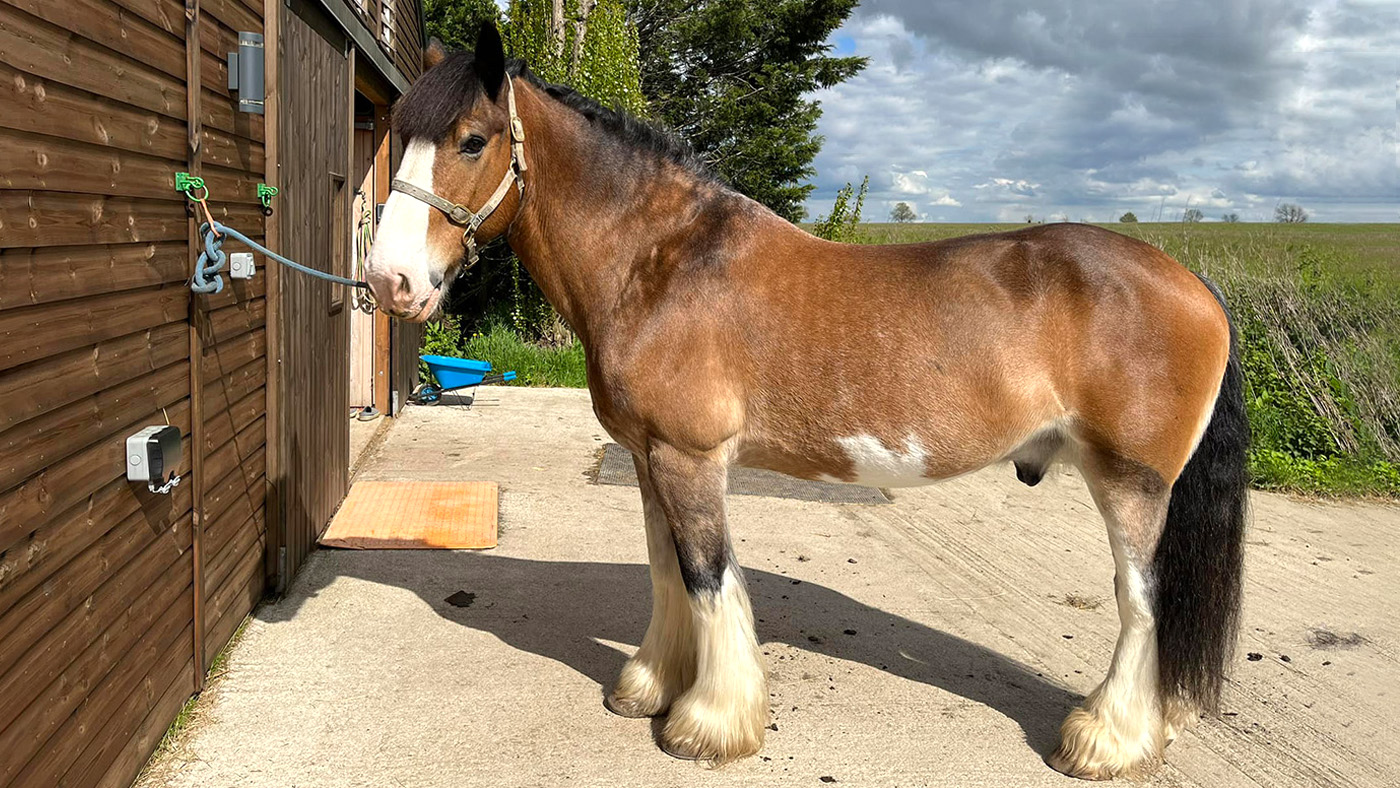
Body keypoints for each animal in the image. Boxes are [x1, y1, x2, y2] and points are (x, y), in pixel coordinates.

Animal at [365, 23, 1249, 781]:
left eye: (473, 140)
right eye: (400, 136)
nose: (388, 281)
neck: (659, 262)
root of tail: (1196, 285)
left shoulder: (689, 459)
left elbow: (709, 577)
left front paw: (708, 726)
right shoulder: (649, 459)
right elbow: (666, 571)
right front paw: (649, 686)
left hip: (1131, 483)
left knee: (1143, 603)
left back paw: (1103, 741)